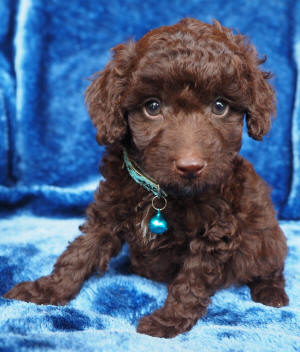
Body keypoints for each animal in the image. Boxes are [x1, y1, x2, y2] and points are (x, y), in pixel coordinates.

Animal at [4, 18, 288, 338]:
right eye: (152, 107)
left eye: (220, 106)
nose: (191, 166)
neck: (159, 191)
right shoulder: (108, 212)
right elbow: (78, 254)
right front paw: (45, 290)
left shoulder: (216, 231)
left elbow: (191, 281)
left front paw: (168, 320)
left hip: (267, 238)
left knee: (271, 266)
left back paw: (271, 293)